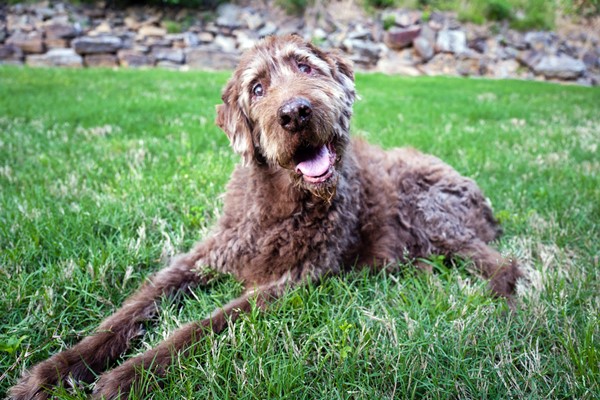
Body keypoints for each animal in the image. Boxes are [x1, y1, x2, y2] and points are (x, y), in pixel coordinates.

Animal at [11, 35, 524, 400]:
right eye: (257, 89)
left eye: (306, 67)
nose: (295, 112)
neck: (282, 203)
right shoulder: (201, 257)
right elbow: (128, 311)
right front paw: (54, 372)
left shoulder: (293, 280)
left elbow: (201, 326)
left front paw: (127, 376)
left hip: (429, 212)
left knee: (504, 264)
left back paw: (499, 309)